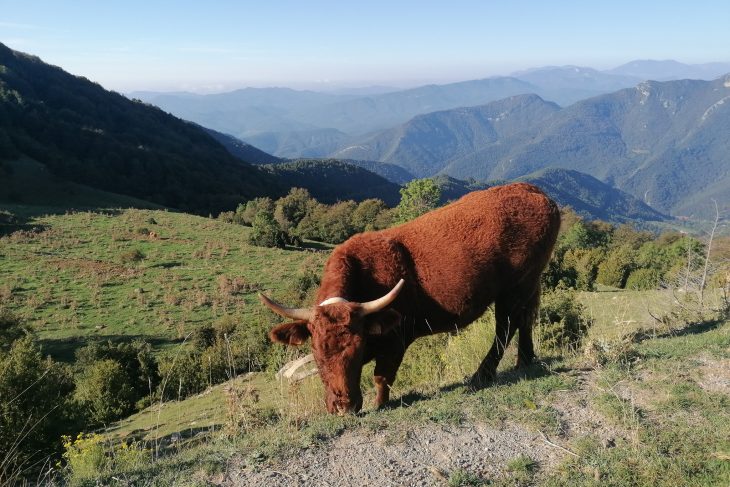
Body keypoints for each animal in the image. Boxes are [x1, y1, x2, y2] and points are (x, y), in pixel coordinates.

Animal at [260, 183, 556, 416]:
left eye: (357, 350)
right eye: (317, 355)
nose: (343, 407)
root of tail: (533, 191)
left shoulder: (397, 337)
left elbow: (382, 376)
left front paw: (380, 404)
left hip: (515, 287)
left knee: (506, 326)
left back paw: (482, 374)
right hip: (531, 282)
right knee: (526, 318)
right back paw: (525, 361)